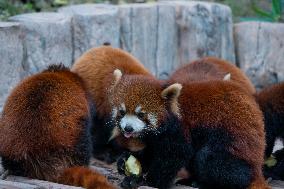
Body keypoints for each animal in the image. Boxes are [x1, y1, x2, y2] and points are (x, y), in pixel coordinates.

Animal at [109, 58, 270, 189]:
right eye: (122, 112)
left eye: (141, 114)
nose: (128, 128)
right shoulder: (157, 136)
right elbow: (152, 151)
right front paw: (126, 161)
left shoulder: (180, 128)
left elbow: (175, 155)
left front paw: (147, 181)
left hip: (234, 145)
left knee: (209, 159)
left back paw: (205, 183)